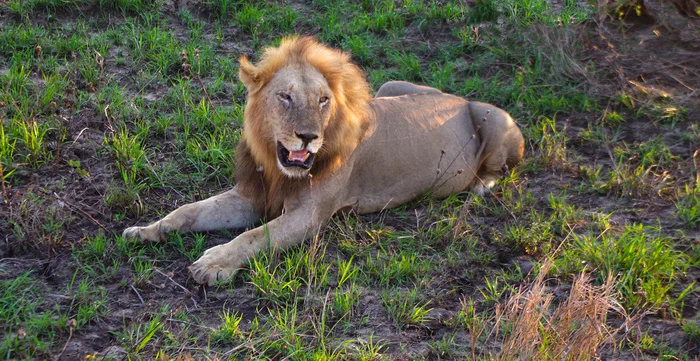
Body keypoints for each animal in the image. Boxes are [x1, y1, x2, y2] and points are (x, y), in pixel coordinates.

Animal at [121, 36, 524, 284]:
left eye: (323, 100)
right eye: (285, 97)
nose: (307, 136)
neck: (279, 166)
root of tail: (458, 98)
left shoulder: (309, 216)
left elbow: (253, 237)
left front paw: (213, 264)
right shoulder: (254, 196)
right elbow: (188, 211)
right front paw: (146, 230)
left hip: (494, 118)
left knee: (502, 168)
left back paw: (479, 188)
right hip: (391, 86)